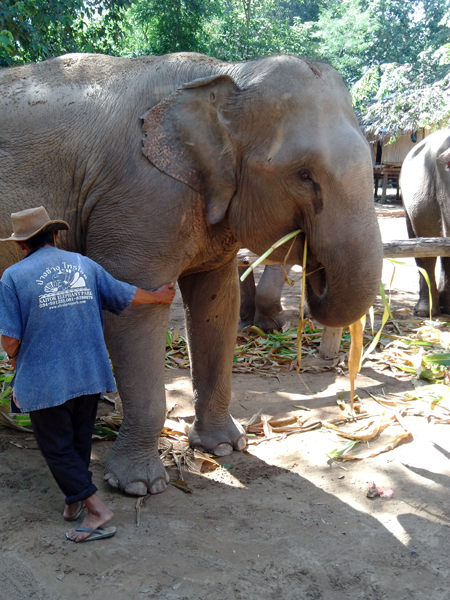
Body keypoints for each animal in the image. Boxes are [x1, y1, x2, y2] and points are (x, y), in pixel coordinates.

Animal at [0, 51, 384, 494]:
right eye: (304, 175)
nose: (314, 269)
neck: (227, 72)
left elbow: (216, 305)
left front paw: (224, 448)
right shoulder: (140, 197)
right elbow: (132, 309)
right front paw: (138, 486)